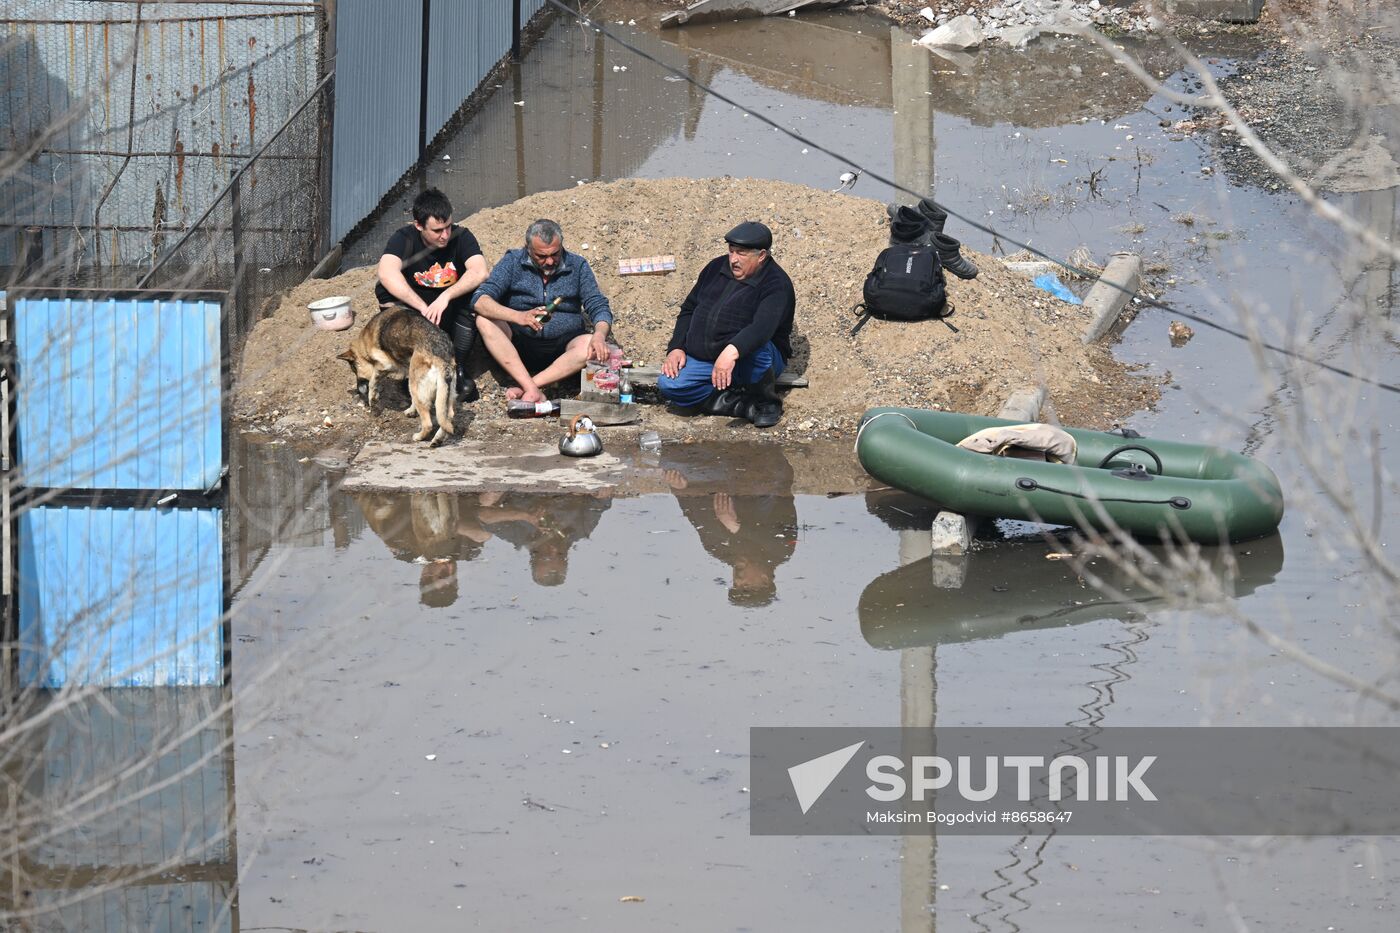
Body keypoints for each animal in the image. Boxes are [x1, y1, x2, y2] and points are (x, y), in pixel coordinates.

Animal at [336, 305, 456, 448]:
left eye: (354, 370)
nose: (359, 390)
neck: (365, 342)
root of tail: (441, 358)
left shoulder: (385, 365)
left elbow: (372, 383)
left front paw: (373, 401)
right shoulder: (406, 369)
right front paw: (411, 410)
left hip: (416, 387)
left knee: (428, 423)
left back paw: (419, 437)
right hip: (442, 394)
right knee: (447, 417)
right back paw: (437, 440)